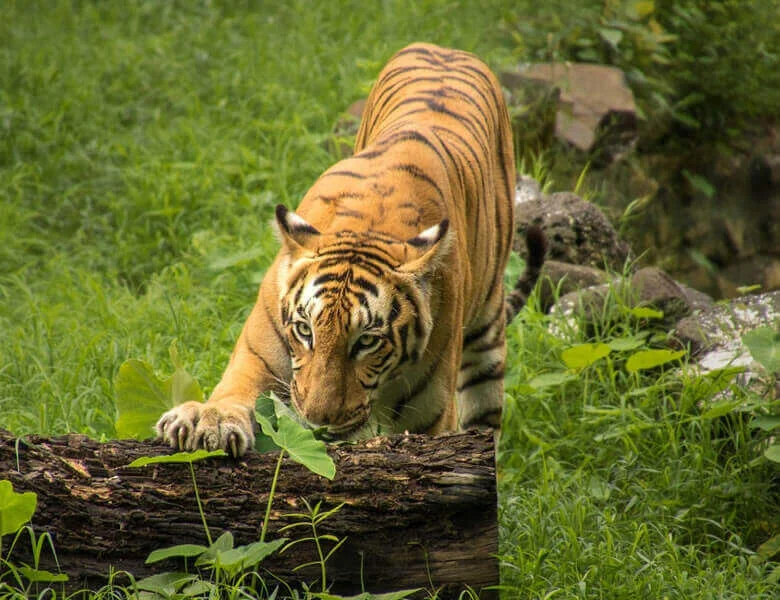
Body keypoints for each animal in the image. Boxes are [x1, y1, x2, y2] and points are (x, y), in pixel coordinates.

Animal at [156, 42, 546, 456]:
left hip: (487, 336)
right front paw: (206, 421)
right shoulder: (258, 354)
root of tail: (445, 48)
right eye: (305, 330)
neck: (369, 226)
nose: (317, 421)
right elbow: (234, 390)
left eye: (368, 341)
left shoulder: (432, 413)